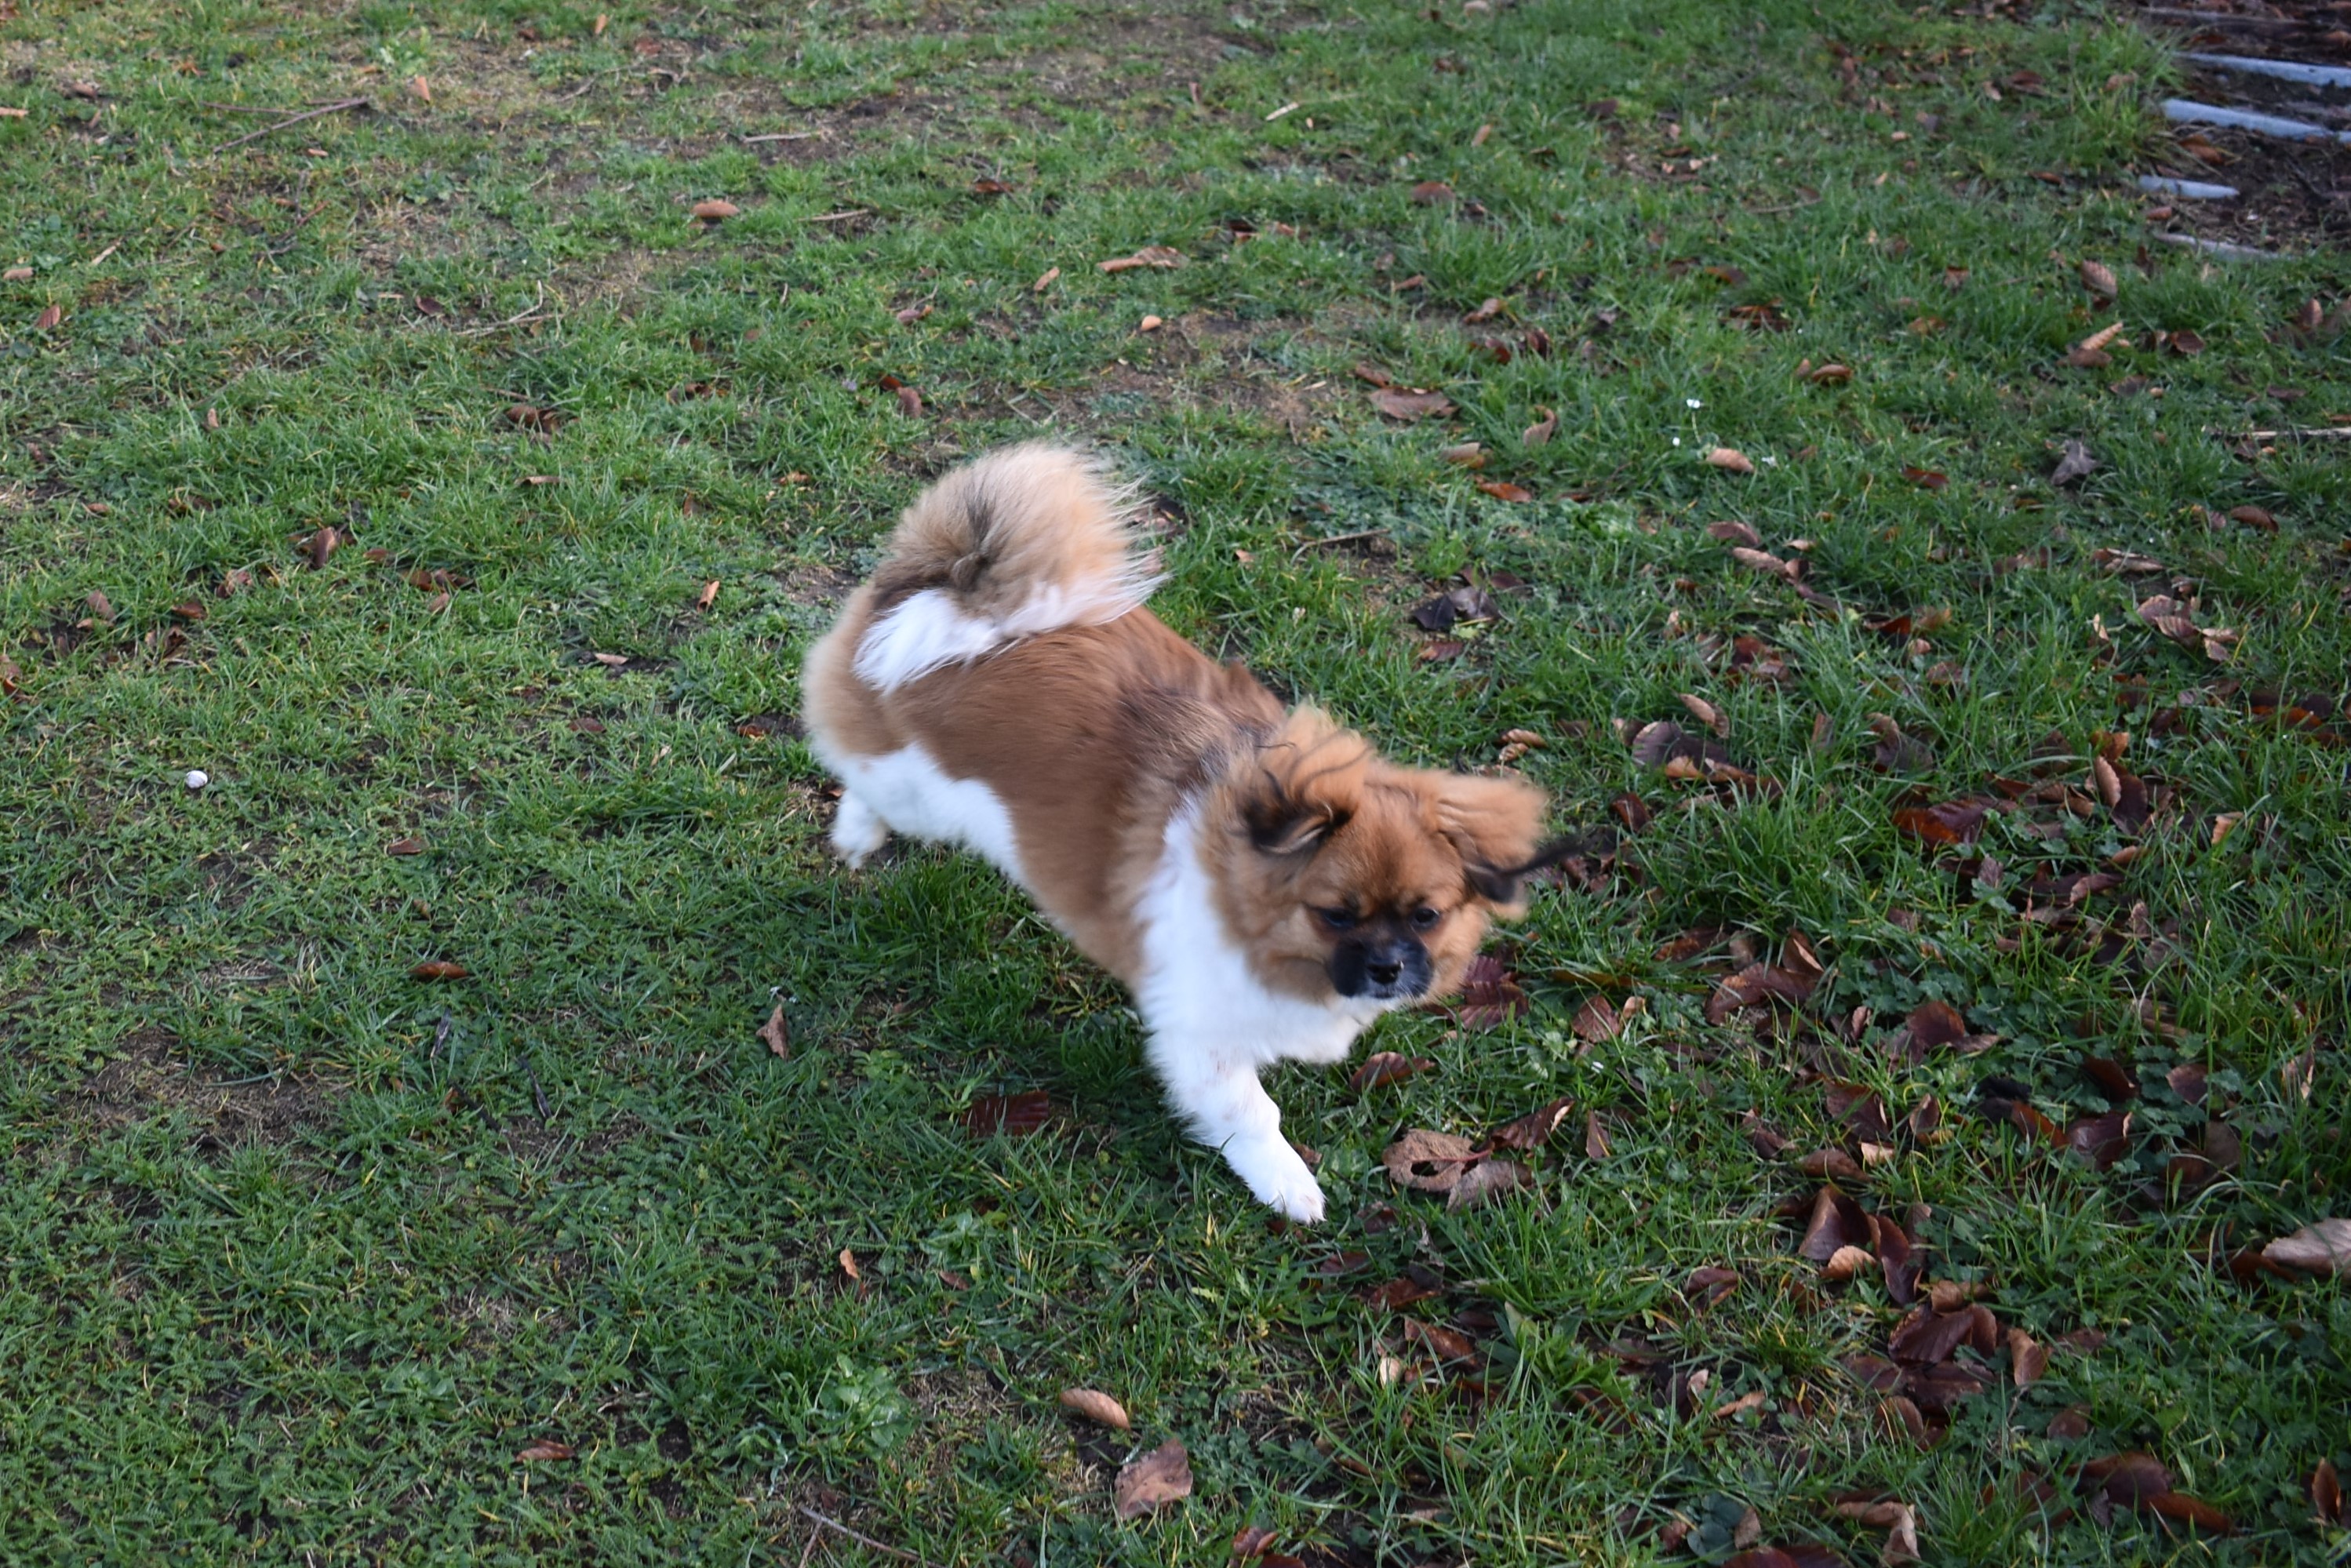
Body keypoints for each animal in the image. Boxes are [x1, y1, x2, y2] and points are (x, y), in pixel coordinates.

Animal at [802, 445, 1560, 1221]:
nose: (1387, 967)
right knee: (860, 777)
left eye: (1427, 915)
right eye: (1335, 915)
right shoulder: (1201, 1032)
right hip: (917, 787)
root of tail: (948, 594)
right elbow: (1251, 1113)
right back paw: (856, 834)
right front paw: (1286, 1181)